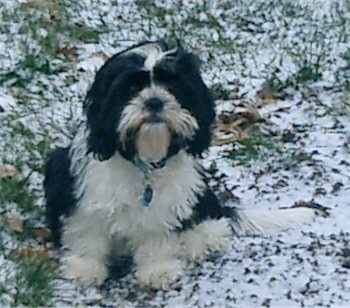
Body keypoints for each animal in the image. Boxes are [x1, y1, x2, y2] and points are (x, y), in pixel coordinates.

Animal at [43, 40, 314, 288]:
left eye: (172, 87)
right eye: (132, 87)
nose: (154, 101)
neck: (145, 163)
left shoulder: (167, 203)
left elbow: (158, 233)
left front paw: (157, 269)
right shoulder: (85, 196)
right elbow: (87, 232)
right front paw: (84, 268)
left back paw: (202, 239)